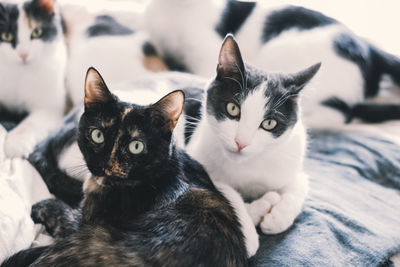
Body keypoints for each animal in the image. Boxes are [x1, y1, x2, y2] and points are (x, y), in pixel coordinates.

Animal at [0, 0, 66, 159]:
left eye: (37, 32)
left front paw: (16, 143)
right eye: (6, 35)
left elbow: (30, 123)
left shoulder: (50, 107)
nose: (23, 54)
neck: (20, 73)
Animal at [186, 35, 320, 234]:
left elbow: (300, 184)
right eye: (232, 108)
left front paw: (278, 218)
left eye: (269, 123)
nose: (240, 142)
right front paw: (258, 212)